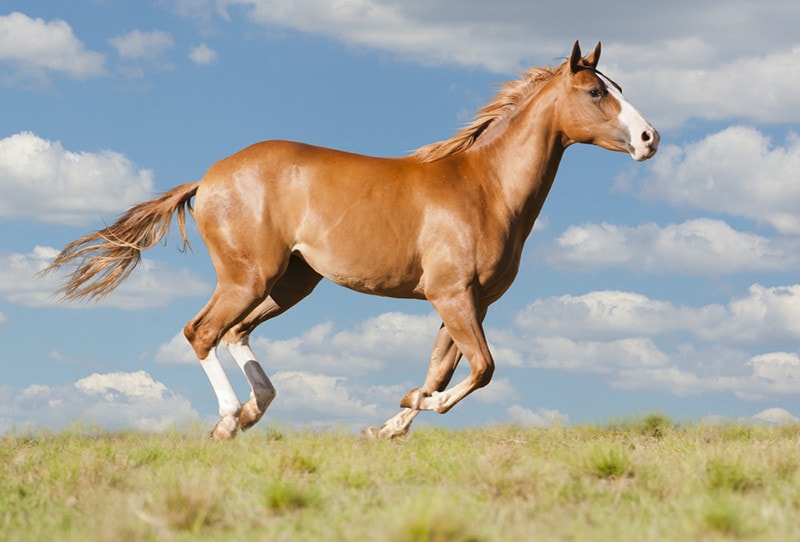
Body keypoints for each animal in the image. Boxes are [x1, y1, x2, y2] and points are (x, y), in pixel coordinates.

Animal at [44, 41, 659, 439]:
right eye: (594, 92)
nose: (650, 138)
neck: (485, 187)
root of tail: (208, 178)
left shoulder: (467, 303)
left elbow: (443, 369)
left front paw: (391, 422)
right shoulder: (453, 296)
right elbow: (480, 369)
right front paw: (412, 407)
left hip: (291, 283)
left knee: (237, 333)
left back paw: (253, 411)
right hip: (248, 277)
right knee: (203, 332)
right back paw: (228, 419)